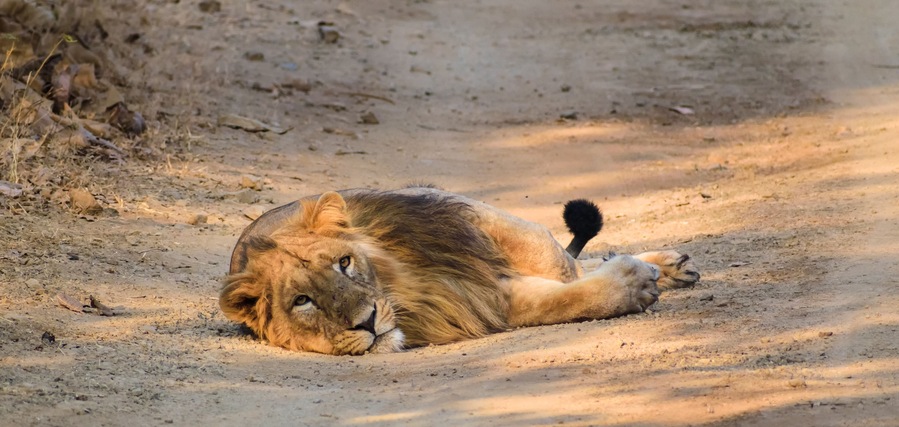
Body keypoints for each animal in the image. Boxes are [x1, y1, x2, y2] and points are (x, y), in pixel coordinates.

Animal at [221, 186, 699, 355]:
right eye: (302, 301)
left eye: (344, 263)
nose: (368, 323)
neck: (408, 288)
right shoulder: (479, 298)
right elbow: (561, 297)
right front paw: (633, 284)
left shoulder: (465, 219)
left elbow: (557, 263)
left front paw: (642, 270)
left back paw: (673, 265)